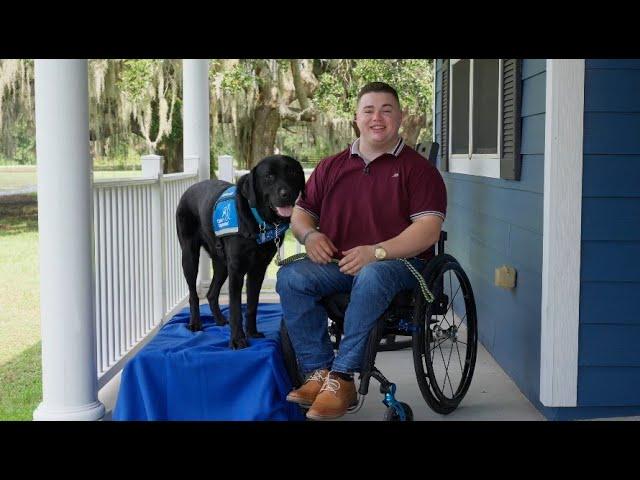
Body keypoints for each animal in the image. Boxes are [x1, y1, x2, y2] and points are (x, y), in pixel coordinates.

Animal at [175, 157, 304, 348]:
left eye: (293, 173)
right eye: (269, 176)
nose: (286, 194)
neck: (258, 221)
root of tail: (189, 189)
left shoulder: (258, 270)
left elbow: (252, 305)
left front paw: (252, 332)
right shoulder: (236, 271)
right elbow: (236, 308)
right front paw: (237, 339)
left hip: (221, 264)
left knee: (211, 293)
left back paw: (219, 319)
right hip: (190, 257)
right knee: (193, 294)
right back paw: (195, 323)